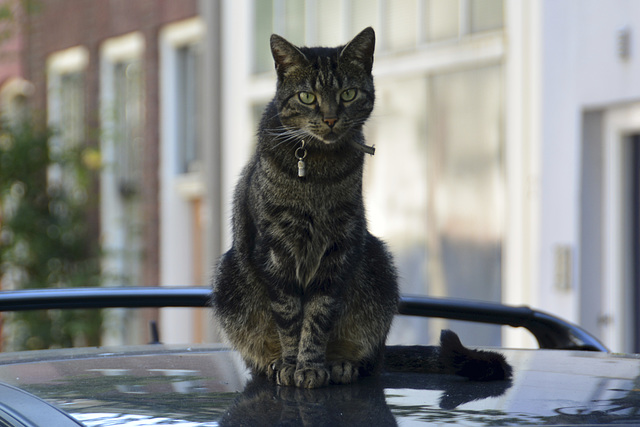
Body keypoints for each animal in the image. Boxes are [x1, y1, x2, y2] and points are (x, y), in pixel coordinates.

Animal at [212, 25, 512, 390]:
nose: (329, 118)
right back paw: (273, 365)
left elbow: (317, 316)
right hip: (229, 277)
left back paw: (342, 364)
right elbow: (289, 318)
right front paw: (291, 364)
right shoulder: (275, 250)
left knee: (369, 359)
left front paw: (310, 366)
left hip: (377, 262)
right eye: (307, 97)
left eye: (348, 94)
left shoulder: (338, 246)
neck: (319, 172)